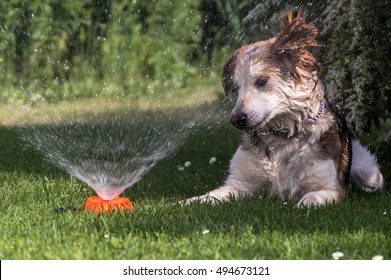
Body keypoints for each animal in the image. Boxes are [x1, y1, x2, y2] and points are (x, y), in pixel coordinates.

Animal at [185, 8, 384, 207]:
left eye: (262, 80)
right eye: (236, 88)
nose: (236, 119)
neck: (282, 137)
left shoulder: (331, 188)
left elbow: (312, 197)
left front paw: (304, 204)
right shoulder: (238, 184)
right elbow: (208, 197)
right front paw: (185, 203)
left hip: (368, 171)